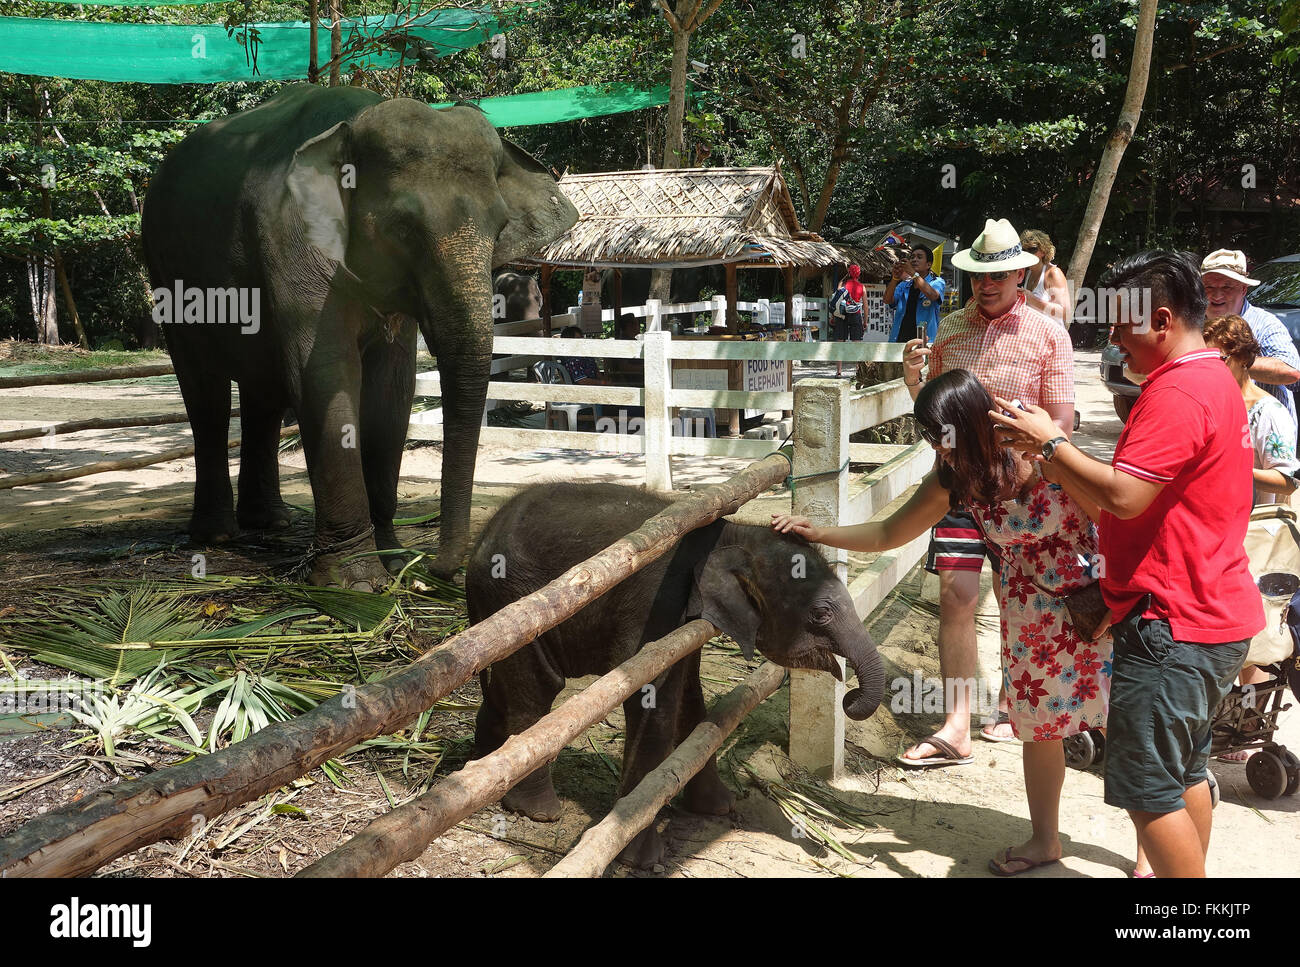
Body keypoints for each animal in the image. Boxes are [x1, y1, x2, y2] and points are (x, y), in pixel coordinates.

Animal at [138, 83, 579, 584]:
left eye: (500, 226)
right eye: (402, 229)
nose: (437, 571)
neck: (353, 124)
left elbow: (392, 385)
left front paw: (395, 560)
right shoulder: (290, 238)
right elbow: (325, 372)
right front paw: (357, 582)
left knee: (262, 393)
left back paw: (271, 522)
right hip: (165, 271)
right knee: (205, 390)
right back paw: (217, 536)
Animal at [467, 483, 883, 868]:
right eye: (820, 614)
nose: (850, 697)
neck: (732, 532)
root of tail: (483, 538)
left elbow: (689, 693)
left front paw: (719, 806)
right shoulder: (655, 604)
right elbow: (652, 699)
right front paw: (642, 858)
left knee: (501, 685)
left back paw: (483, 764)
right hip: (514, 598)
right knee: (537, 685)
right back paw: (538, 810)